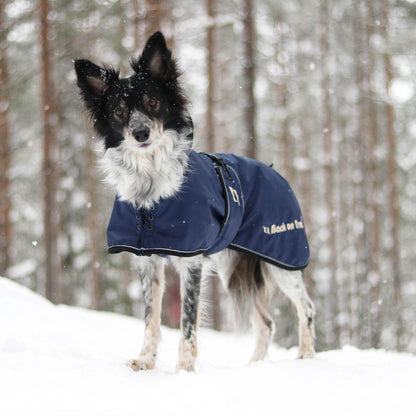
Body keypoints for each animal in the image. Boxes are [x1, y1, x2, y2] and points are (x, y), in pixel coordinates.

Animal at [75, 31, 316, 370]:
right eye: (119, 111)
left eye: (153, 102)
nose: (140, 133)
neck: (152, 189)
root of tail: (276, 173)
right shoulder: (148, 261)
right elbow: (151, 319)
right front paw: (145, 361)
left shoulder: (191, 262)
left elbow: (187, 322)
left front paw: (185, 370)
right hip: (233, 270)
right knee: (266, 324)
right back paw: (254, 366)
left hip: (282, 259)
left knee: (306, 308)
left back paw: (306, 355)